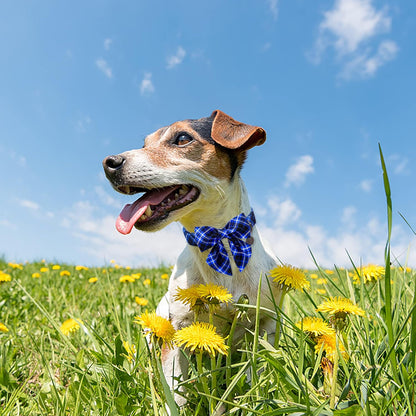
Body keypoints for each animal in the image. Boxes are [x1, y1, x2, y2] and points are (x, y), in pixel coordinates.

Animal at [102, 109, 282, 404]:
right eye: (145, 144)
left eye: (183, 138)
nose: (109, 163)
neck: (218, 243)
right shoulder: (179, 330)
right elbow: (176, 392)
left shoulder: (266, 323)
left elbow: (253, 376)